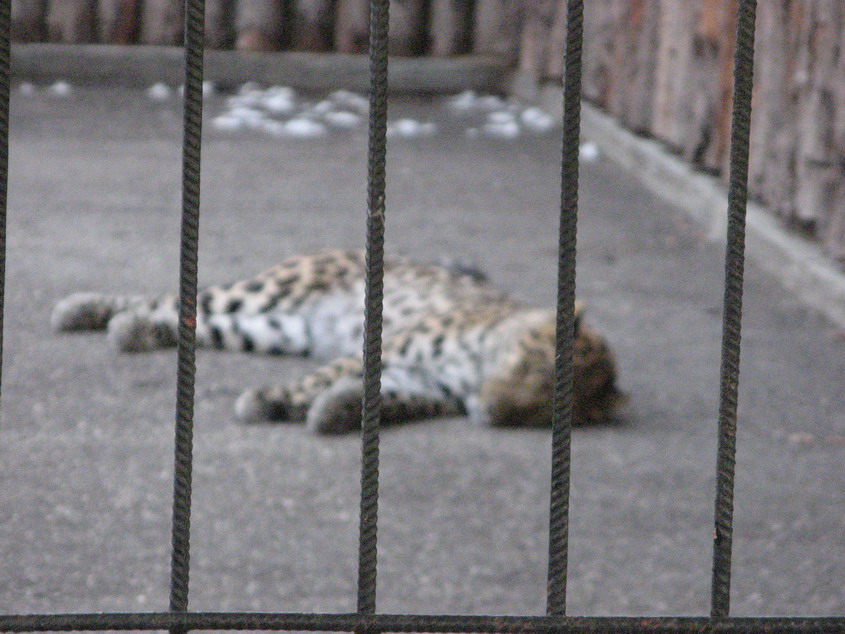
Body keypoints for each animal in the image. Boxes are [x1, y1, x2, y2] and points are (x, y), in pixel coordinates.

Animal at [51, 248, 624, 434]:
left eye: (541, 415)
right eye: (531, 368)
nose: (492, 413)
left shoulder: (427, 386)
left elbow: (400, 400)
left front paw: (338, 411)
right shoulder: (390, 348)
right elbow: (321, 378)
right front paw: (270, 401)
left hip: (275, 329)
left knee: (189, 318)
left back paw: (132, 330)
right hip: (271, 291)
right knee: (176, 297)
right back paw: (84, 310)